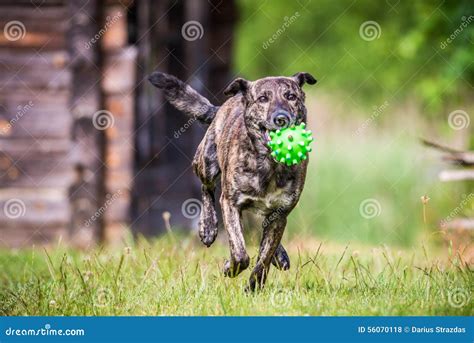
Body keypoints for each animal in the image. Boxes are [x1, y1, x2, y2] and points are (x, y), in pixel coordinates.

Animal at [148, 71, 316, 292]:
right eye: (263, 98)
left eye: (291, 96)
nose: (281, 118)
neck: (268, 163)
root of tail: (224, 106)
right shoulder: (230, 204)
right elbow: (240, 252)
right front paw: (231, 267)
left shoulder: (280, 214)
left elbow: (264, 258)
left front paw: (254, 287)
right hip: (206, 163)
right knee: (206, 187)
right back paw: (208, 226)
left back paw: (279, 256)